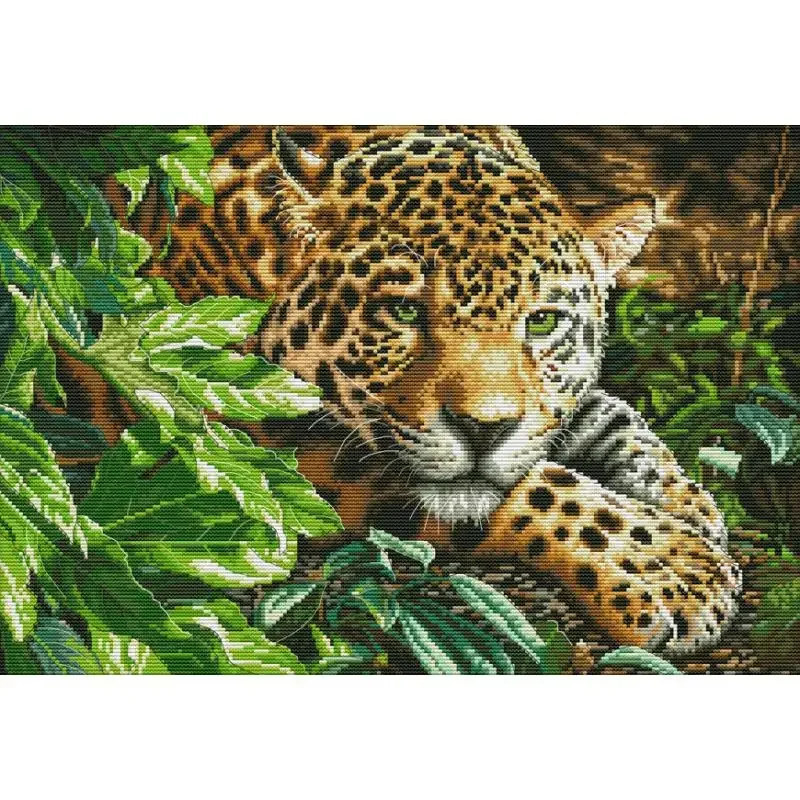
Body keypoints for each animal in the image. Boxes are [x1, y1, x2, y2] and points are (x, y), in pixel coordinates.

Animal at [102, 125, 742, 655]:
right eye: (405, 311)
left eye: (541, 322)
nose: (484, 430)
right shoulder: (245, 430)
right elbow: (541, 488)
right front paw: (675, 567)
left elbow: (613, 420)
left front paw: (693, 504)